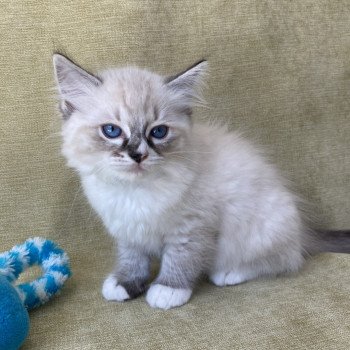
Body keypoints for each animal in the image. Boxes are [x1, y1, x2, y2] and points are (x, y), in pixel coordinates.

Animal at [53, 54, 348, 308]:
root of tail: (304, 232)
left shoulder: (191, 227)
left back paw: (229, 273)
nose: (138, 155)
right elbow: (133, 260)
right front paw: (126, 284)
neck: (135, 191)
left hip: (258, 230)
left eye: (158, 132)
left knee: (283, 260)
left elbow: (180, 259)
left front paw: (167, 290)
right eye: (112, 131)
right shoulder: (128, 230)